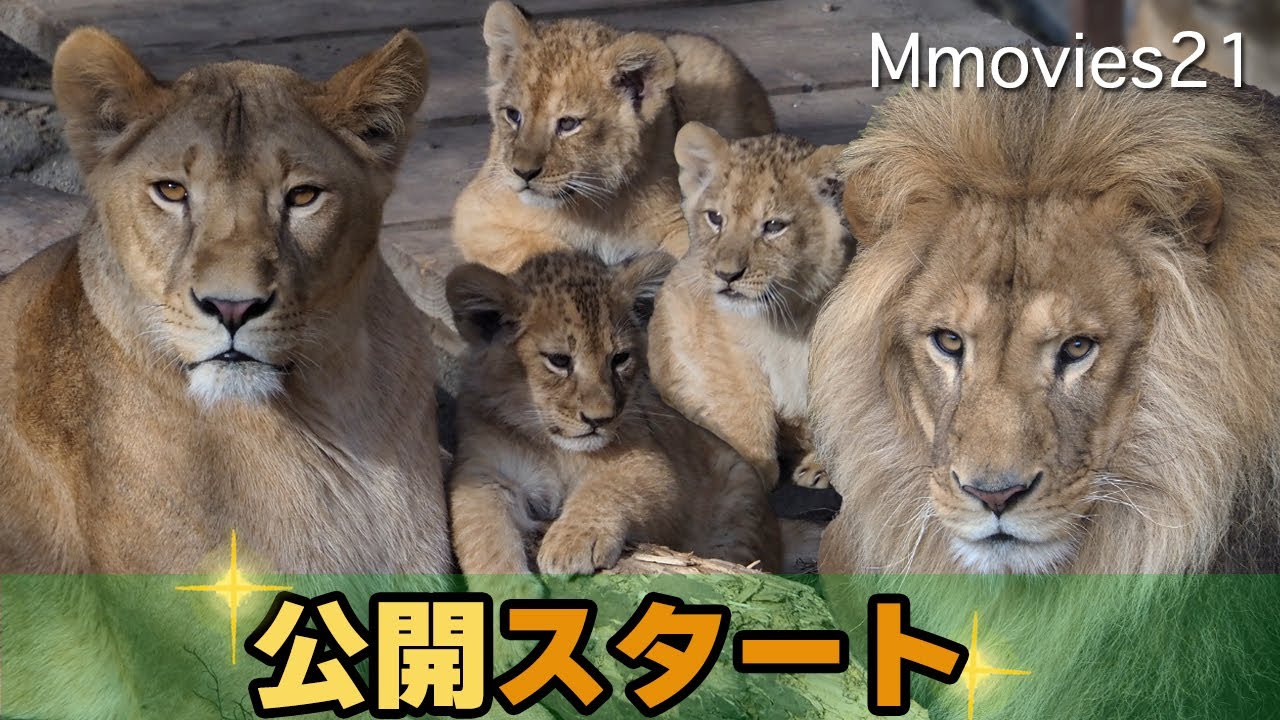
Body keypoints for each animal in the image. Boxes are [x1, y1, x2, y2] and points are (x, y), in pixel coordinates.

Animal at [446, 250, 780, 579]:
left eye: (619, 358)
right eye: (559, 360)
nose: (600, 420)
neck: (554, 449)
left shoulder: (650, 464)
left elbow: (608, 491)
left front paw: (572, 543)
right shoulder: (484, 471)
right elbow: (483, 529)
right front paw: (510, 584)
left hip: (740, 497)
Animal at [451, 1, 777, 273]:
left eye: (568, 124)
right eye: (513, 115)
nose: (522, 173)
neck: (594, 206)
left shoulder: (680, 221)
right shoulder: (475, 212)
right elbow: (544, 251)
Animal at [648, 123, 852, 490]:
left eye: (773, 226)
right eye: (715, 218)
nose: (726, 275)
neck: (788, 318)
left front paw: (822, 465)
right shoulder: (726, 345)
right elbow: (744, 409)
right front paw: (753, 470)